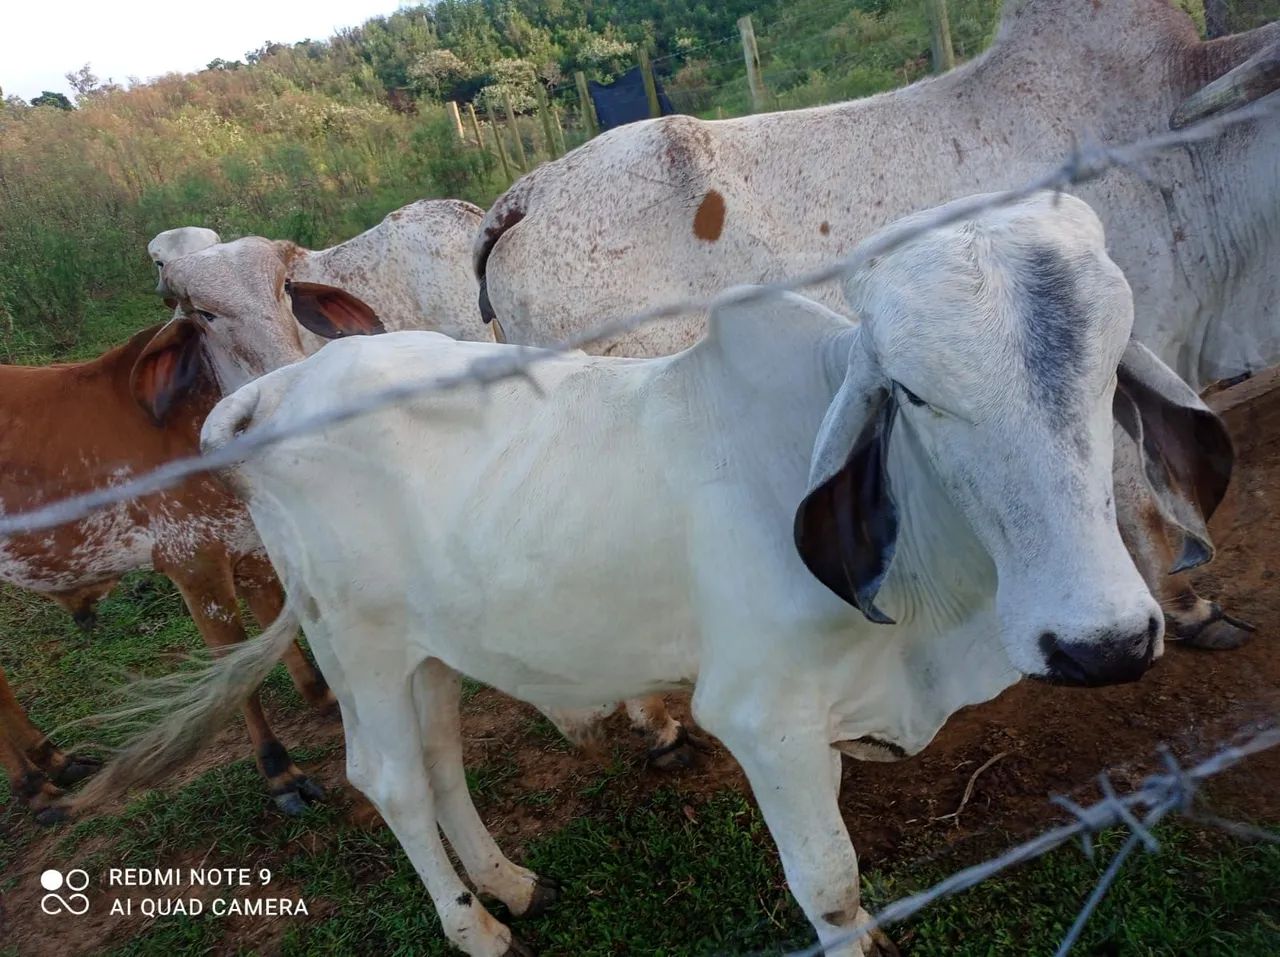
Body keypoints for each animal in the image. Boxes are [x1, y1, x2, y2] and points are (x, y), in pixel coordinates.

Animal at [0, 302, 380, 823]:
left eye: (288, 298)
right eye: (207, 316)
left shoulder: (250, 546)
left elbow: (273, 630)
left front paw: (323, 695)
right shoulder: (194, 564)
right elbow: (234, 668)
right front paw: (280, 773)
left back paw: (54, 762)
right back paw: (35, 786)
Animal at [74, 194, 1227, 956]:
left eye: (1106, 369)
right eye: (913, 393)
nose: (1101, 641)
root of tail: (268, 396)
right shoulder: (761, 717)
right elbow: (831, 884)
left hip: (425, 647)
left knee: (440, 758)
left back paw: (507, 881)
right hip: (354, 645)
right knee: (388, 776)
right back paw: (473, 926)